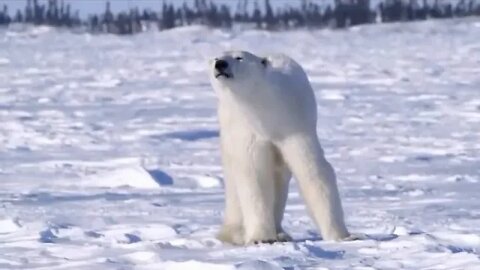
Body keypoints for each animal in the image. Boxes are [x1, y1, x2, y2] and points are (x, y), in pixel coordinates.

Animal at [208, 50, 350, 245]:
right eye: (216, 58)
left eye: (239, 57)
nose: (220, 64)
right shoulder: (247, 131)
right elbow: (255, 177)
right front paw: (261, 238)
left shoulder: (293, 125)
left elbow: (312, 171)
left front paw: (343, 236)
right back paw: (233, 233)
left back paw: (281, 233)